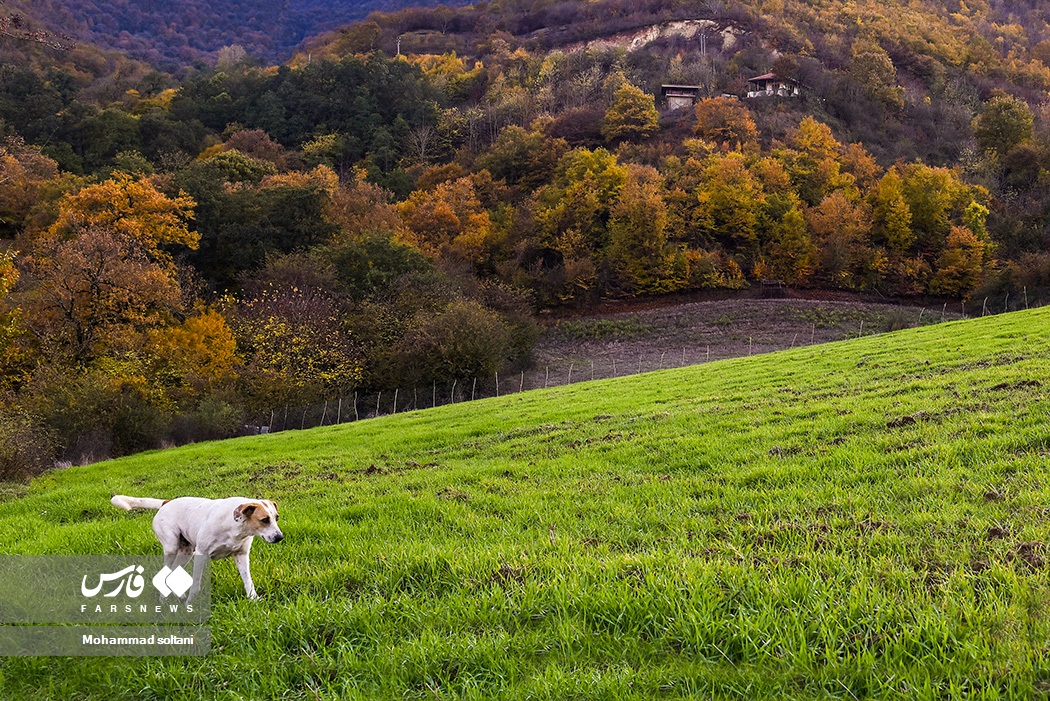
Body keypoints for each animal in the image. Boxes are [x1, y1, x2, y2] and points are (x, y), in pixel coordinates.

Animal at [111, 495, 283, 600]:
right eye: (264, 520)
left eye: (276, 518)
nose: (280, 537)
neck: (235, 526)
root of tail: (166, 502)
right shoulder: (201, 554)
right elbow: (195, 586)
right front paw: (190, 606)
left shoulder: (241, 555)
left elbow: (248, 582)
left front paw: (254, 599)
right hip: (172, 548)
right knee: (163, 574)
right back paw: (164, 600)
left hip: (185, 553)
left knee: (171, 575)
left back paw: (178, 597)